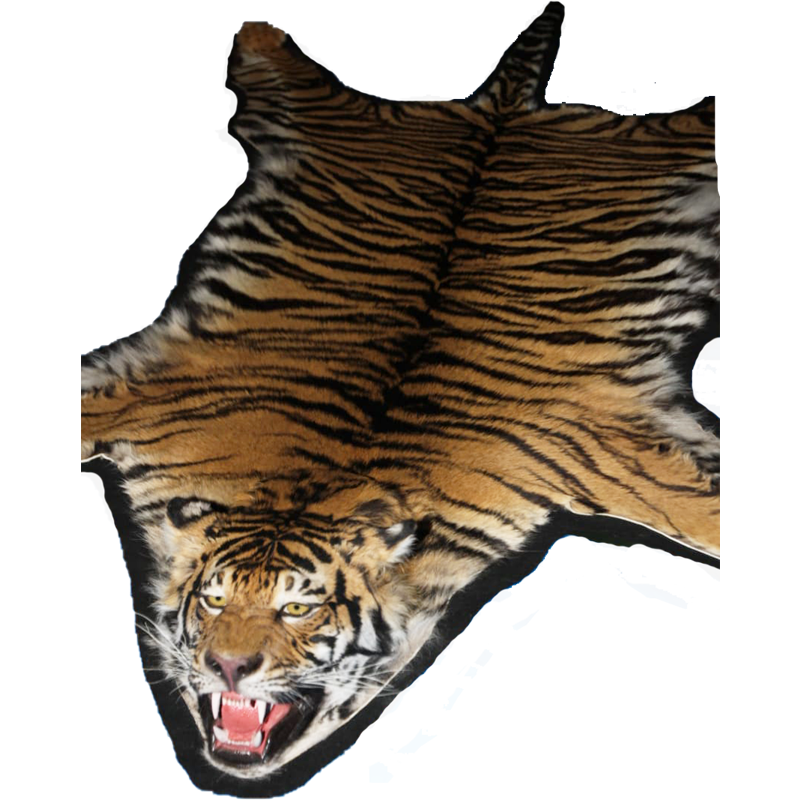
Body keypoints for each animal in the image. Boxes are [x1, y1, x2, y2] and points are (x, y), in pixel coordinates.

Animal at [81, 6, 719, 793]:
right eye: (215, 598)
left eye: (299, 607)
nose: (228, 665)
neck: (307, 489)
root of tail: (497, 109)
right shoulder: (144, 401)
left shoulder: (608, 451)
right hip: (338, 119)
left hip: (660, 142)